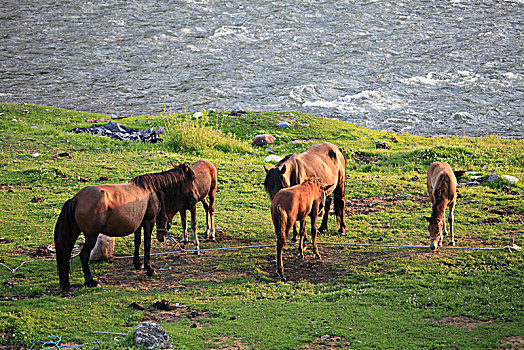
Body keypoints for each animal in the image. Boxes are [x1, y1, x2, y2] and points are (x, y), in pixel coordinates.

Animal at [53, 163, 196, 292]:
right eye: (192, 179)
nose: (195, 199)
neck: (151, 191)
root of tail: (76, 198)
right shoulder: (149, 222)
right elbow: (147, 244)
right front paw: (149, 269)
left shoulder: (139, 223)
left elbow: (137, 242)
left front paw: (138, 263)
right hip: (91, 236)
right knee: (83, 255)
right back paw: (91, 281)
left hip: (74, 234)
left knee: (65, 255)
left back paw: (66, 284)